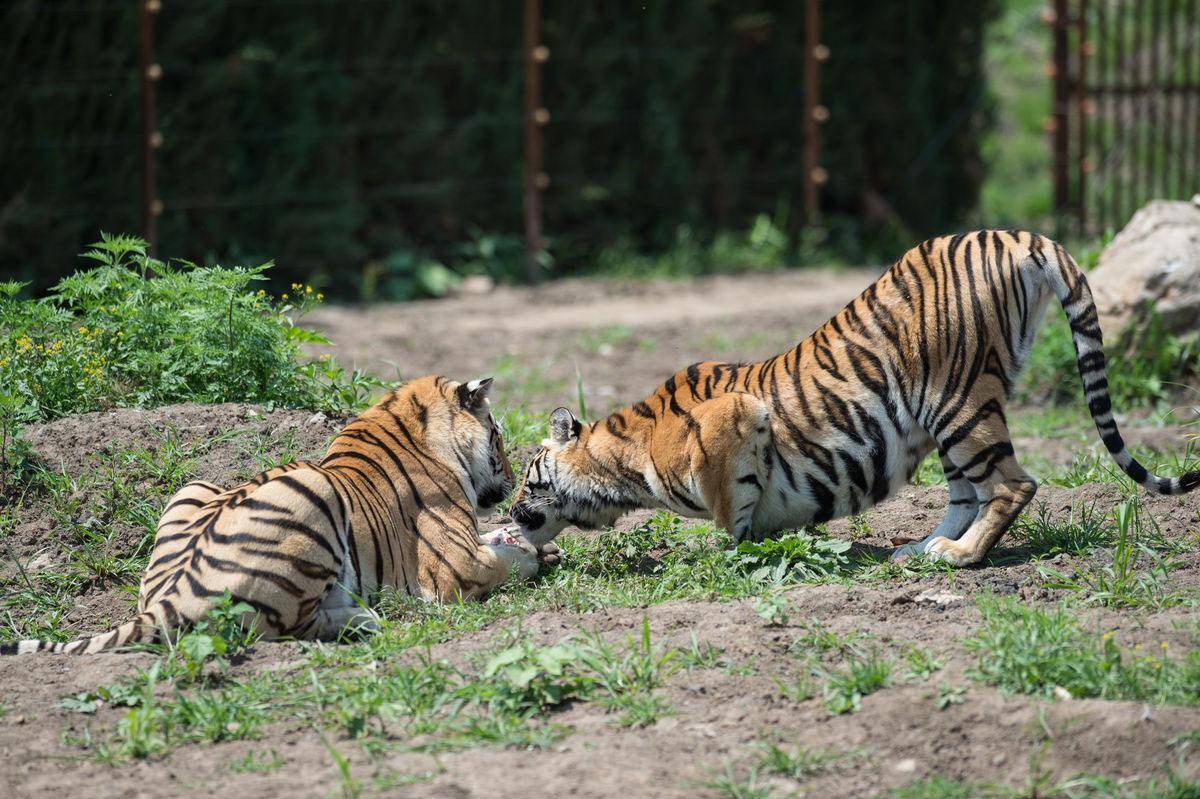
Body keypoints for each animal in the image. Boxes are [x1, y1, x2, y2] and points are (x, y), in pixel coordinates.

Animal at [4, 374, 540, 652]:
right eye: (498, 436)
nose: (513, 483)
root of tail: (168, 599)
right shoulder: (457, 565)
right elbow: (509, 562)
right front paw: (537, 554)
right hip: (312, 493)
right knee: (288, 628)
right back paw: (363, 619)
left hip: (192, 486)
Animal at [508, 229, 1200, 566]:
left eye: (527, 477)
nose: (506, 512)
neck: (622, 467)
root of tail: (1015, 236)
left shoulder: (734, 419)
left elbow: (729, 505)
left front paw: (725, 554)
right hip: (952, 410)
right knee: (966, 491)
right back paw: (921, 547)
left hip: (956, 398)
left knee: (1012, 485)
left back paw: (960, 557)